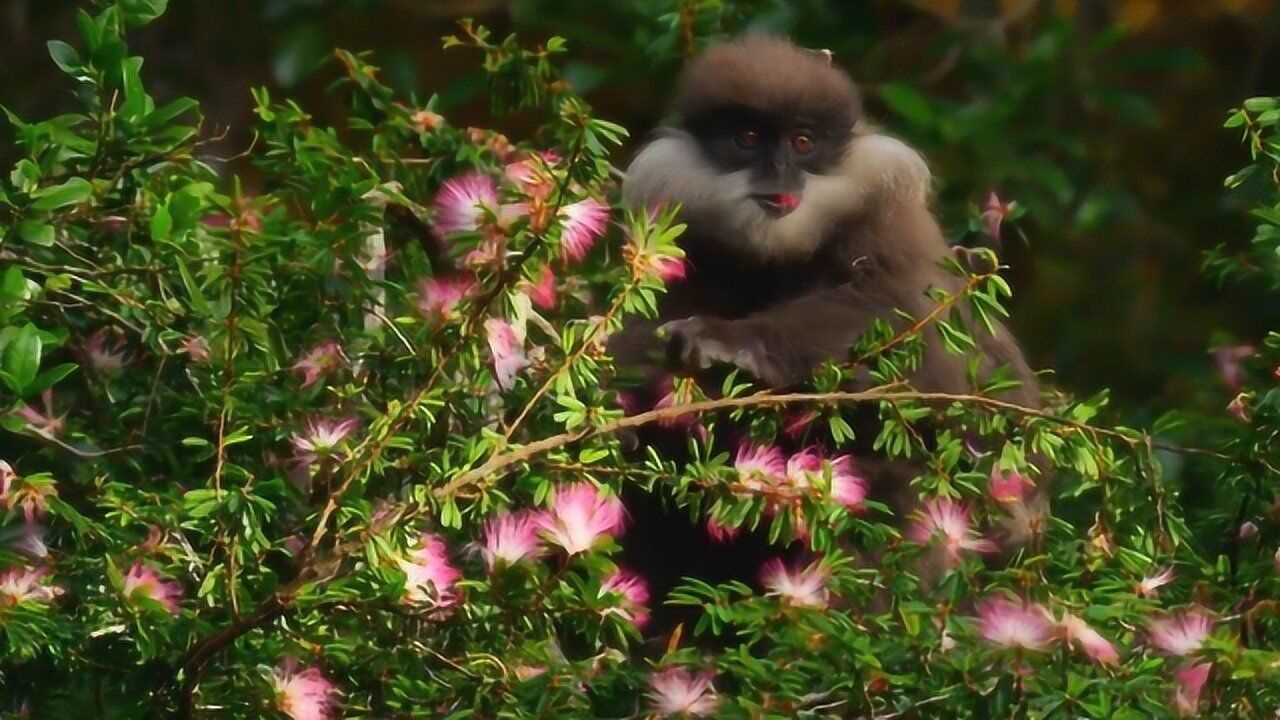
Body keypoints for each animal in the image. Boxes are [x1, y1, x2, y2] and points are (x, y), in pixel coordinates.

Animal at [606, 36, 1039, 635]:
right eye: (748, 138)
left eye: (803, 142)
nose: (781, 174)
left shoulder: (891, 227)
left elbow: (922, 343)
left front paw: (728, 343)